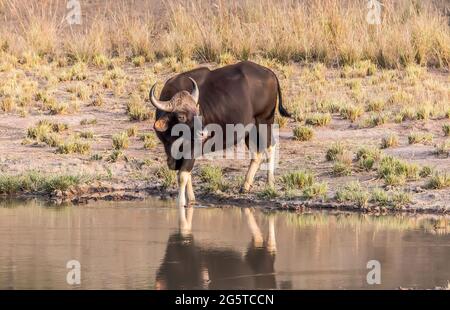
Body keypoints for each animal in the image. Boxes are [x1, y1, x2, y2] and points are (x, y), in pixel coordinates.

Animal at [150, 60, 292, 207]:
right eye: (181, 116)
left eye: (197, 112)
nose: (204, 133)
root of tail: (269, 72)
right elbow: (185, 174)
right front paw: (192, 199)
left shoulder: (193, 149)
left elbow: (183, 175)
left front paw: (182, 202)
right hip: (250, 130)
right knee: (257, 153)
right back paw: (245, 186)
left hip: (264, 122)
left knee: (270, 147)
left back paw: (270, 184)